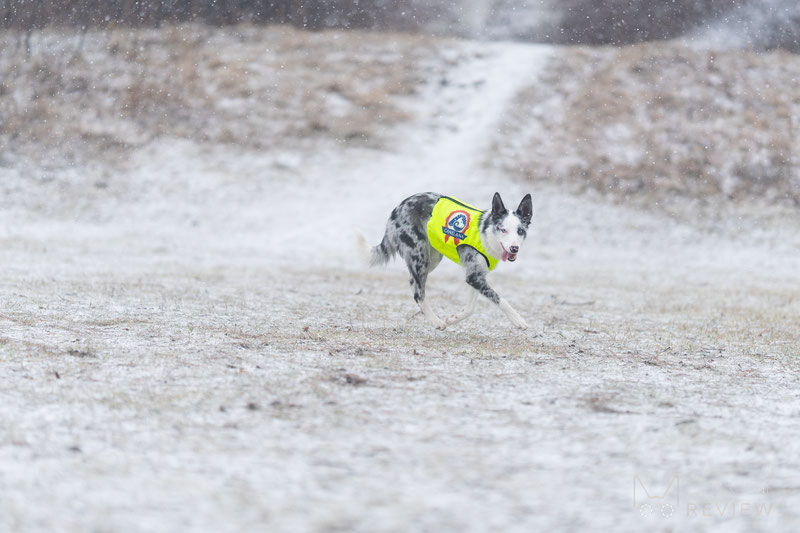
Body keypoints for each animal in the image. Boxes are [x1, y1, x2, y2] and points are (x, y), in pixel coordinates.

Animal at [360, 191, 532, 328]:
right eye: (503, 230)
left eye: (520, 231)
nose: (514, 248)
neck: (486, 232)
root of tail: (397, 209)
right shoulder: (474, 277)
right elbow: (501, 300)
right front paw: (518, 320)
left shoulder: (476, 275)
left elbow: (470, 308)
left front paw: (454, 318)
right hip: (420, 256)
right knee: (419, 293)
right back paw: (435, 321)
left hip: (433, 258)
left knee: (413, 283)